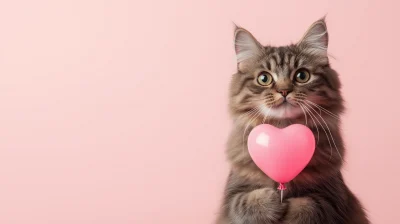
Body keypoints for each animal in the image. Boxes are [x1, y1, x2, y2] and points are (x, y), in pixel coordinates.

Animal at [217, 18, 370, 223]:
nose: (284, 91)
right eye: (264, 78)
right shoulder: (232, 196)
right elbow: (245, 201)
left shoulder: (334, 197)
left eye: (302, 76)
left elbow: (309, 206)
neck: (283, 130)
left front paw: (287, 204)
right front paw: (274, 199)